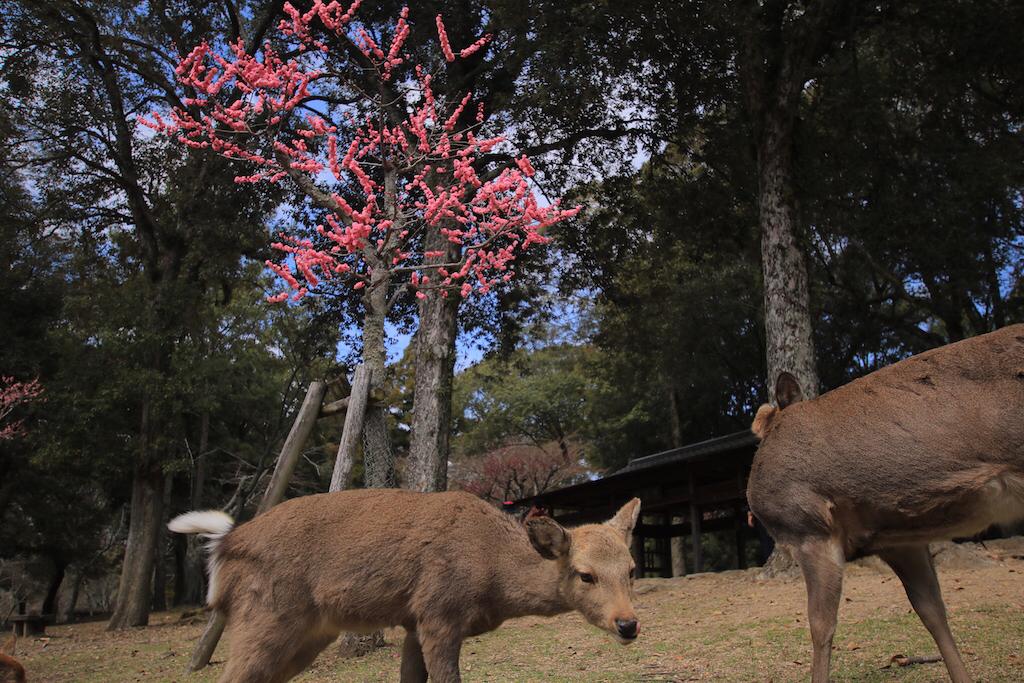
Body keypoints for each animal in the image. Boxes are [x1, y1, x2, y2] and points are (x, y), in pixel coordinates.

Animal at [170, 489, 642, 683]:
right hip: (264, 615)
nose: (628, 624)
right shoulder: (439, 610)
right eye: (585, 573)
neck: (491, 571)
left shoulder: (415, 621)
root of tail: (225, 545)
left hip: (307, 635)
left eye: (632, 569)